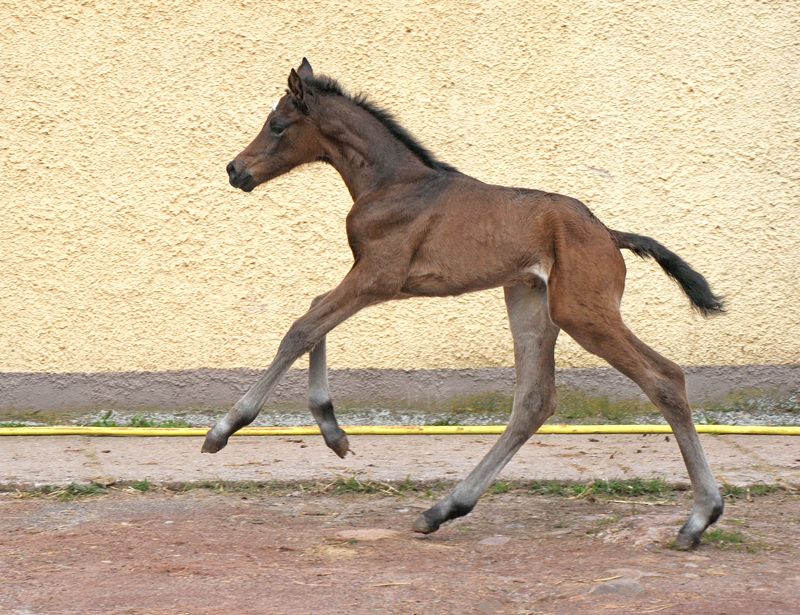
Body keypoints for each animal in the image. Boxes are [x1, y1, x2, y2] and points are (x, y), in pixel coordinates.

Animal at [205, 57, 724, 548]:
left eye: (277, 125)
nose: (235, 170)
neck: (393, 183)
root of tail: (609, 234)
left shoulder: (379, 276)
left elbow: (301, 326)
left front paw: (225, 429)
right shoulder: (381, 279)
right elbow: (314, 316)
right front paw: (333, 433)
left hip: (583, 313)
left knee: (665, 378)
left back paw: (700, 519)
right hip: (531, 303)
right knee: (535, 400)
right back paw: (442, 510)